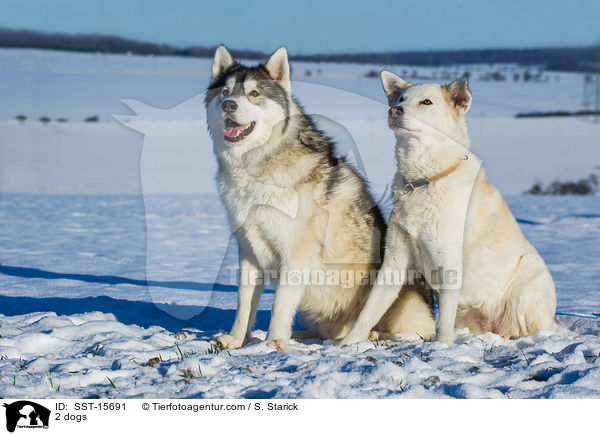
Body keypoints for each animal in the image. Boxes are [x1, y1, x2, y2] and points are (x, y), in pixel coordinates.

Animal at [342, 72, 556, 348]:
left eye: (426, 102)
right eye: (401, 99)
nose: (394, 110)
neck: (424, 181)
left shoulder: (448, 263)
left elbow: (442, 319)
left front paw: (442, 346)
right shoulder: (394, 260)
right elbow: (369, 309)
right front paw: (350, 341)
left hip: (528, 285)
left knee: (532, 328)